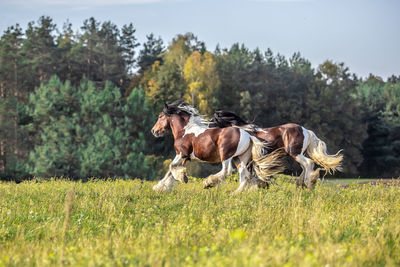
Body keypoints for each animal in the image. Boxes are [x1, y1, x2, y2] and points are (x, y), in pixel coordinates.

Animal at [151, 101, 284, 194]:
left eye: (160, 116)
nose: (154, 131)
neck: (184, 131)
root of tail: (248, 135)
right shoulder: (184, 158)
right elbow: (170, 171)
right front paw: (159, 187)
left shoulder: (181, 154)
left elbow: (171, 167)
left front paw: (183, 178)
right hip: (239, 158)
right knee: (244, 175)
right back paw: (235, 193)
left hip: (226, 154)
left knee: (227, 171)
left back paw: (208, 183)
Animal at [209, 110, 344, 189]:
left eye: (213, 120)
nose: (208, 128)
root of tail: (306, 130)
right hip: (298, 154)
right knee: (305, 166)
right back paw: (301, 183)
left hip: (294, 153)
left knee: (308, 163)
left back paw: (308, 183)